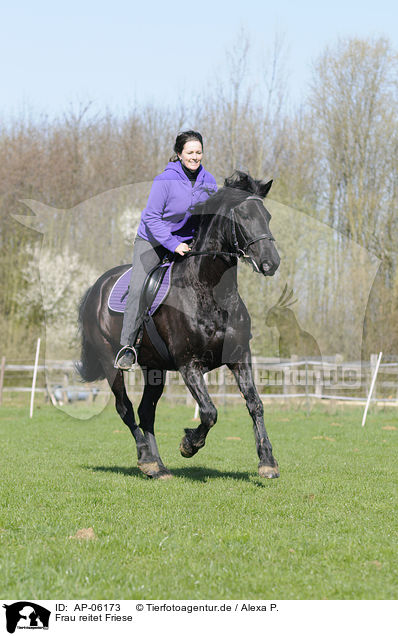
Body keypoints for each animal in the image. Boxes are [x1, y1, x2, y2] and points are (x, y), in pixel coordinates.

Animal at [77, 171, 280, 480]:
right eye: (243, 216)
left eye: (267, 216)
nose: (271, 263)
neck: (210, 290)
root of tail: (95, 288)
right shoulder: (189, 364)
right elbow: (209, 412)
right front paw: (189, 444)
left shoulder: (239, 357)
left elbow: (255, 403)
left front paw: (267, 461)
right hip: (110, 362)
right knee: (125, 409)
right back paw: (147, 460)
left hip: (154, 368)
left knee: (146, 412)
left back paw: (158, 467)